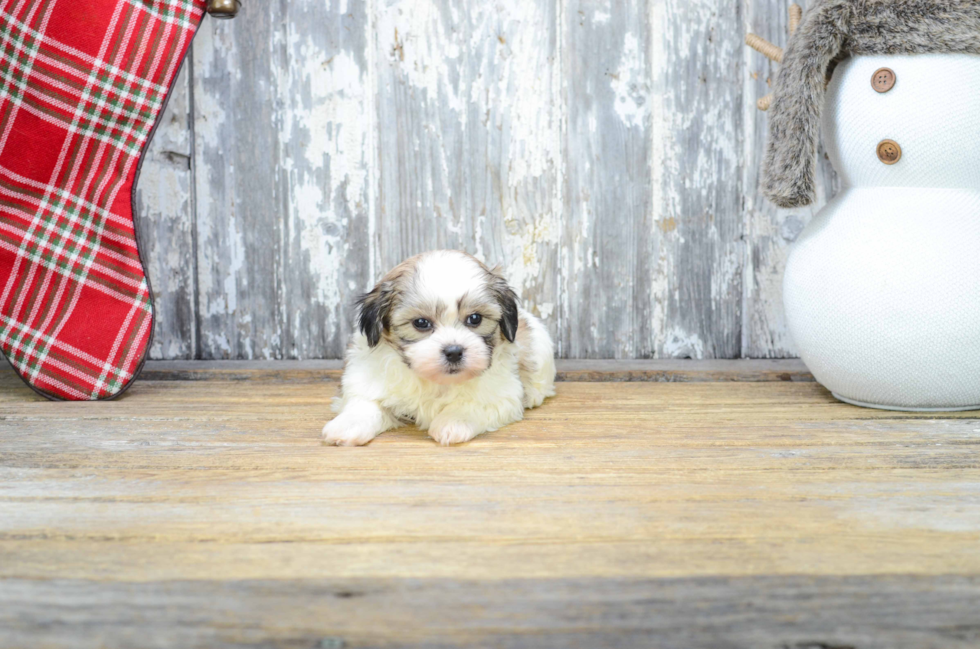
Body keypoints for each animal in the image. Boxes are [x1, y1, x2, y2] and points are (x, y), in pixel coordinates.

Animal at [320, 249, 552, 446]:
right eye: (421, 323)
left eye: (475, 318)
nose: (454, 351)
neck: (435, 381)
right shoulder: (365, 378)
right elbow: (366, 402)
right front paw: (347, 424)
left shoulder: (502, 393)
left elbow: (473, 403)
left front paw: (453, 422)